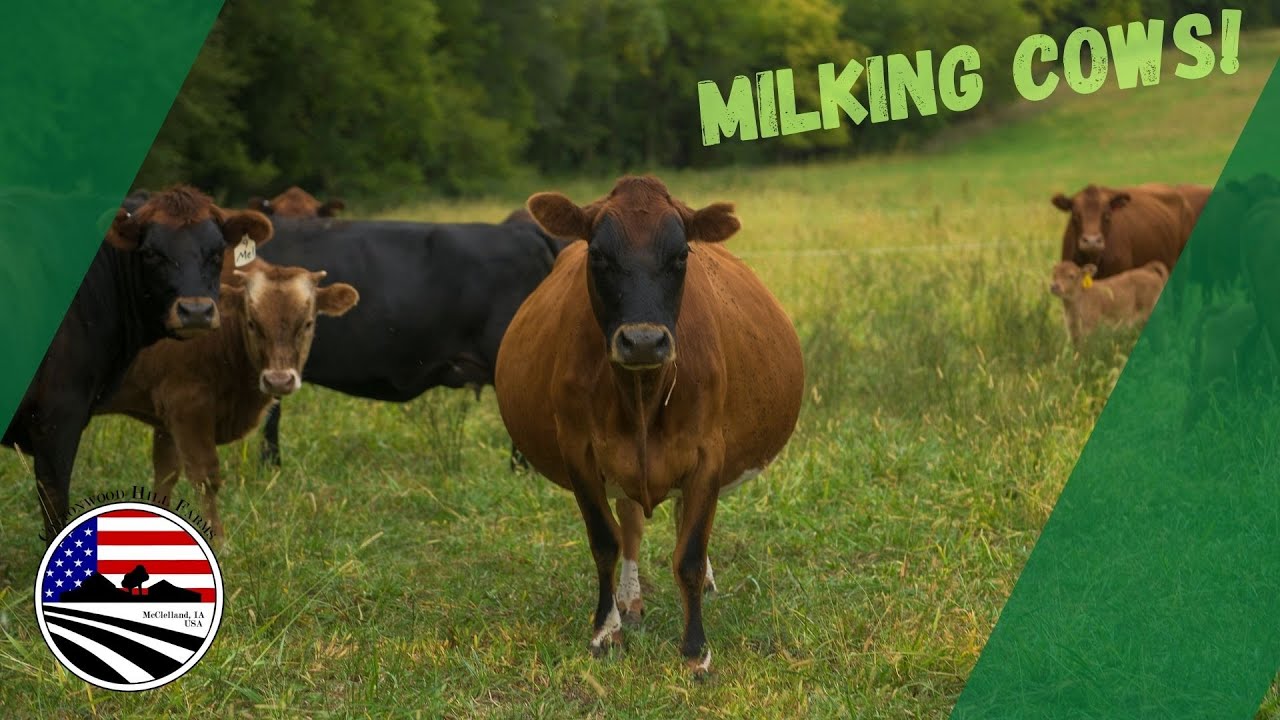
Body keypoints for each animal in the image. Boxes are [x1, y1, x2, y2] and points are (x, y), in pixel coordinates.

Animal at [97, 260, 357, 543]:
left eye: (308, 324)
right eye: (252, 323)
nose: (279, 380)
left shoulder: (165, 419)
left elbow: (166, 474)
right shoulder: (187, 406)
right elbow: (205, 477)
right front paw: (219, 541)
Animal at [494, 176, 805, 675]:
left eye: (681, 256)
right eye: (598, 255)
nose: (642, 340)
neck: (642, 396)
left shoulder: (708, 453)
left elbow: (690, 553)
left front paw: (696, 648)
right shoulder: (579, 451)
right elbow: (606, 541)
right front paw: (606, 629)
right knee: (632, 526)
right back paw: (631, 600)